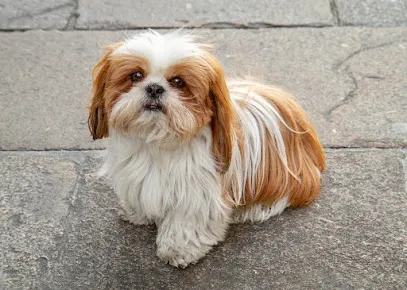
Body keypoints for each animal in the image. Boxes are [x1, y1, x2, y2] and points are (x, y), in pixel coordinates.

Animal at [87, 30, 326, 268]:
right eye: (136, 75)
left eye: (178, 82)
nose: (154, 88)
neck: (159, 142)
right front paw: (137, 213)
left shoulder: (196, 193)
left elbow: (186, 221)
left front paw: (177, 249)